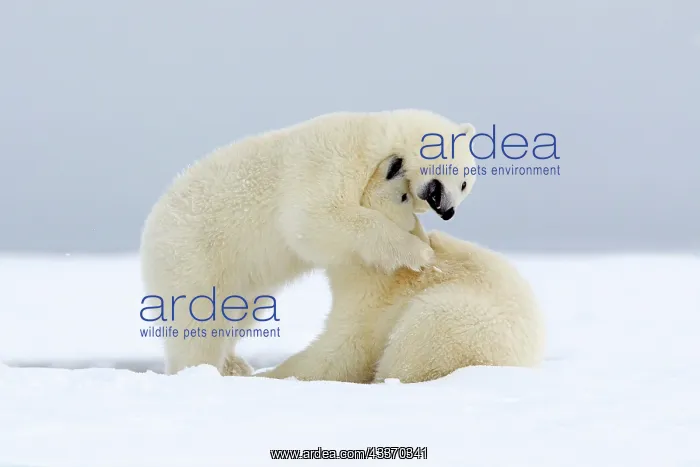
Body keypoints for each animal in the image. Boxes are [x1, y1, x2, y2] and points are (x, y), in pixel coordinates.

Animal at [139, 109, 478, 376]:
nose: (448, 211)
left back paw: (234, 363)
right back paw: (202, 369)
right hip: (194, 253)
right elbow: (314, 219)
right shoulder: (331, 160)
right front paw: (420, 252)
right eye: (462, 180)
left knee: (239, 309)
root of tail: (151, 227)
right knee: (197, 321)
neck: (372, 137)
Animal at [258, 156, 545, 384]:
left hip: (450, 320)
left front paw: (267, 375)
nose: (395, 164)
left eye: (404, 195)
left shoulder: (371, 295)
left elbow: (345, 349)